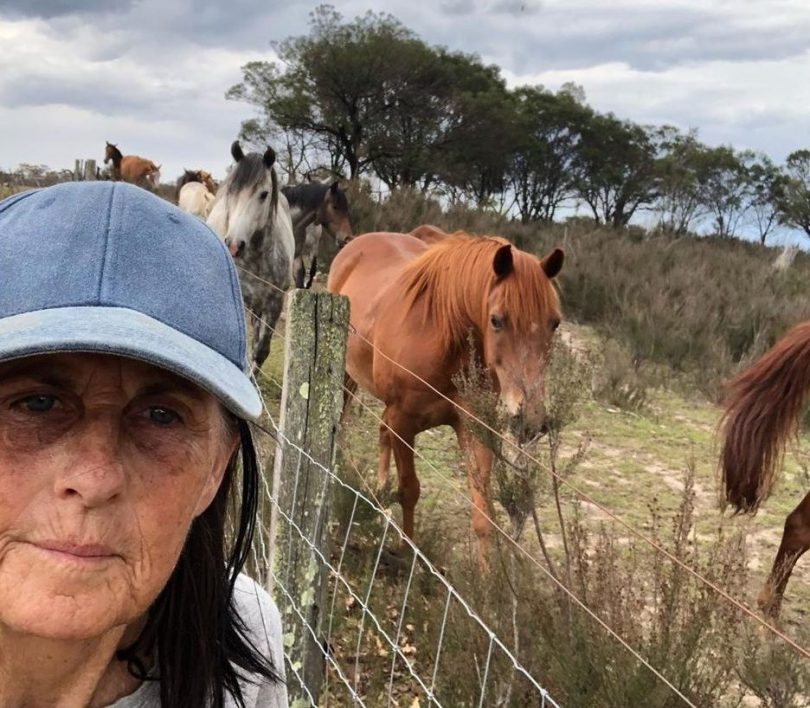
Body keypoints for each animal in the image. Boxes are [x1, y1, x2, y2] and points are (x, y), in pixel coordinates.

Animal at [328, 231, 560, 560]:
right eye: (496, 320)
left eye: (555, 322)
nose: (530, 419)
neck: (443, 342)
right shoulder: (403, 422)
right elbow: (410, 490)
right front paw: (406, 552)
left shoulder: (473, 427)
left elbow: (483, 514)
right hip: (348, 377)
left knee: (381, 432)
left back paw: (380, 489)